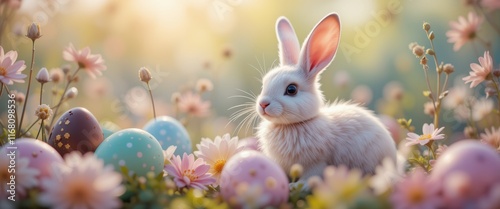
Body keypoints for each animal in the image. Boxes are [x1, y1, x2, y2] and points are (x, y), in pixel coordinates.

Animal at [256, 13, 396, 183]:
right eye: (264, 83)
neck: (291, 125)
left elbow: (309, 178)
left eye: (291, 89)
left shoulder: (316, 164)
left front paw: (297, 186)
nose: (263, 104)